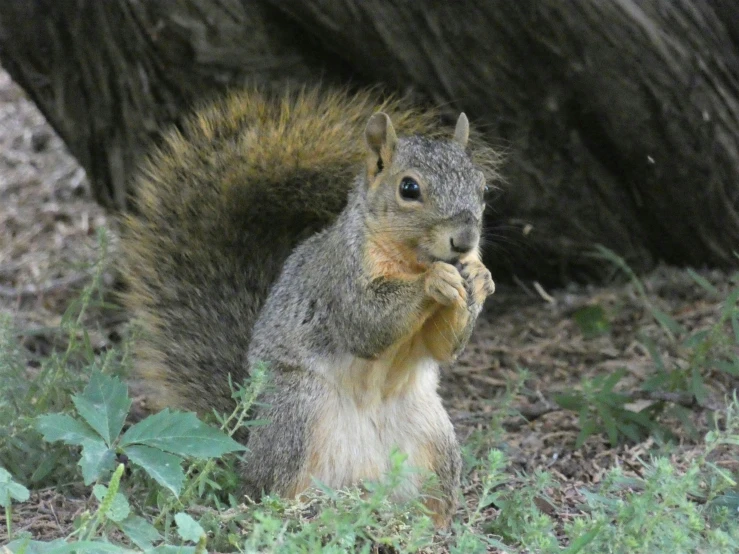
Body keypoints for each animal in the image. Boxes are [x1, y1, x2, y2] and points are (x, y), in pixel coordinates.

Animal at [121, 87, 500, 528]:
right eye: (408, 188)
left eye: (482, 188)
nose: (465, 241)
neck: (412, 260)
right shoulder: (338, 280)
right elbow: (365, 324)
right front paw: (435, 281)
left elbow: (444, 347)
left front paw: (480, 278)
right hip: (297, 415)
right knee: (271, 491)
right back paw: (293, 512)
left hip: (434, 441)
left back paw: (424, 525)